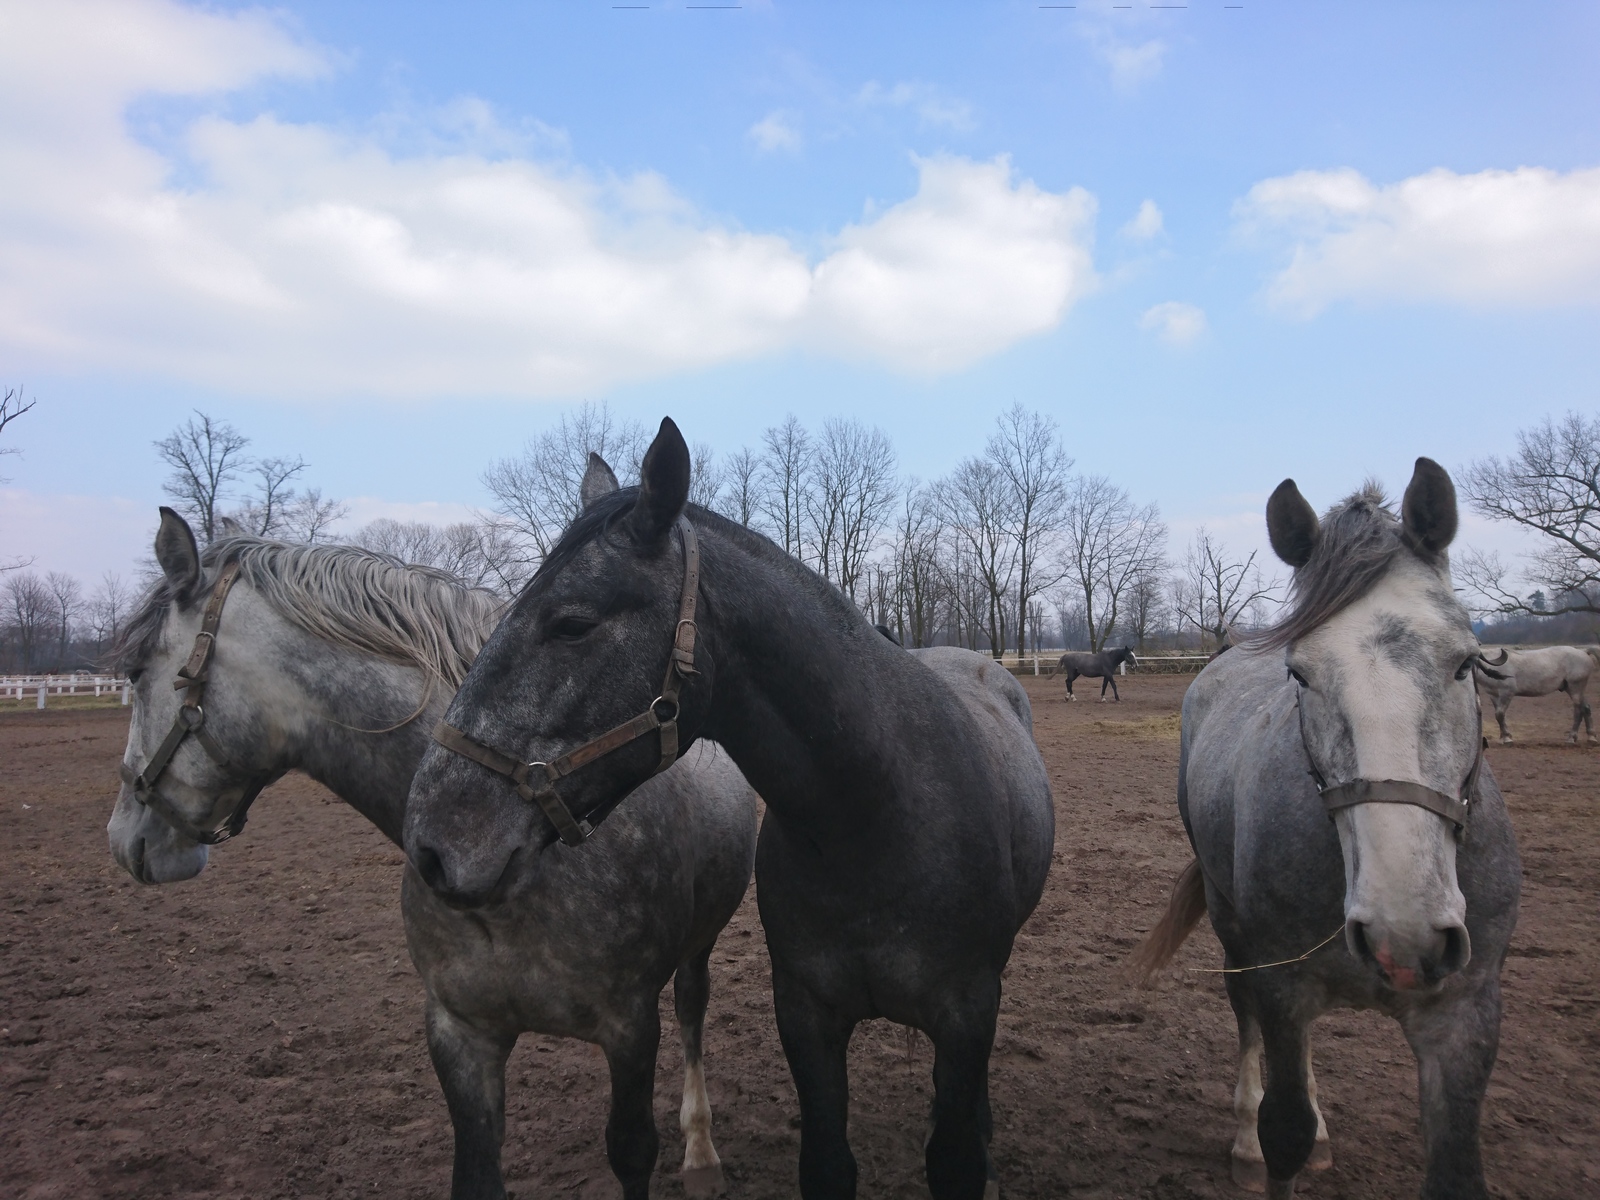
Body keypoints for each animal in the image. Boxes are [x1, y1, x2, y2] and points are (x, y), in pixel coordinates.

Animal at [104, 508, 755, 1200]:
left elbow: (633, 1149)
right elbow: (474, 1171)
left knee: (692, 1012)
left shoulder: (630, 1028)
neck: (517, 874)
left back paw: (702, 1152)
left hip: (699, 948)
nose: (122, 837)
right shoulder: (459, 1033)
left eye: (137, 672)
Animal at [406, 422, 1056, 1200]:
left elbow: (955, 1157)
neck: (876, 819)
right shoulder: (805, 1015)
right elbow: (828, 1165)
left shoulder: (964, 1014)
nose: (434, 843)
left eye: (572, 624)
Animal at [1132, 454, 1516, 1196]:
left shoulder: (1466, 1016)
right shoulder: (1284, 986)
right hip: (1233, 929)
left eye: (1465, 662)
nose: (1404, 932)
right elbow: (1284, 1132)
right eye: (1301, 675)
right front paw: (1263, 1143)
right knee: (1245, 1013)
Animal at [1472, 649, 1600, 742]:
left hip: (1575, 688)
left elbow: (1499, 714)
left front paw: (1507, 738)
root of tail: (1583, 652)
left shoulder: (1507, 693)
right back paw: (1591, 737)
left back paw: (1571, 737)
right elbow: (1499, 716)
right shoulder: (1494, 695)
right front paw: (1503, 736)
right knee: (1586, 708)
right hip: (1574, 689)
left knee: (1578, 710)